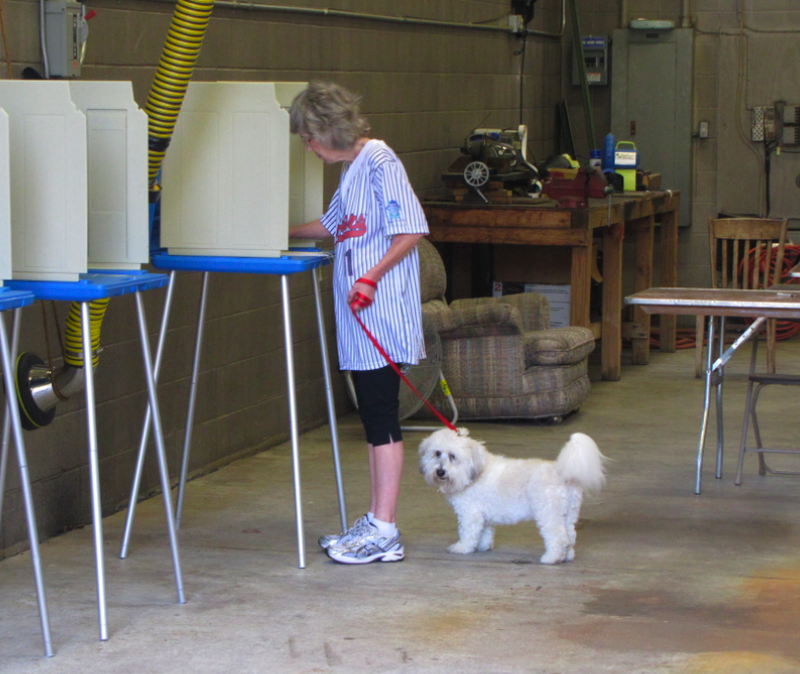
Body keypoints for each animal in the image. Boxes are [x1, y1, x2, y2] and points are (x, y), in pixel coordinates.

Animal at [418, 426, 608, 560]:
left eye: (453, 456)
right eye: (437, 453)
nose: (440, 472)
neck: (475, 473)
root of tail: (564, 475)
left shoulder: (470, 514)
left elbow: (468, 533)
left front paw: (462, 548)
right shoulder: (483, 516)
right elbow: (484, 533)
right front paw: (483, 547)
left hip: (548, 514)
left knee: (559, 538)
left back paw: (551, 558)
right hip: (568, 514)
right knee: (570, 537)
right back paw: (567, 557)